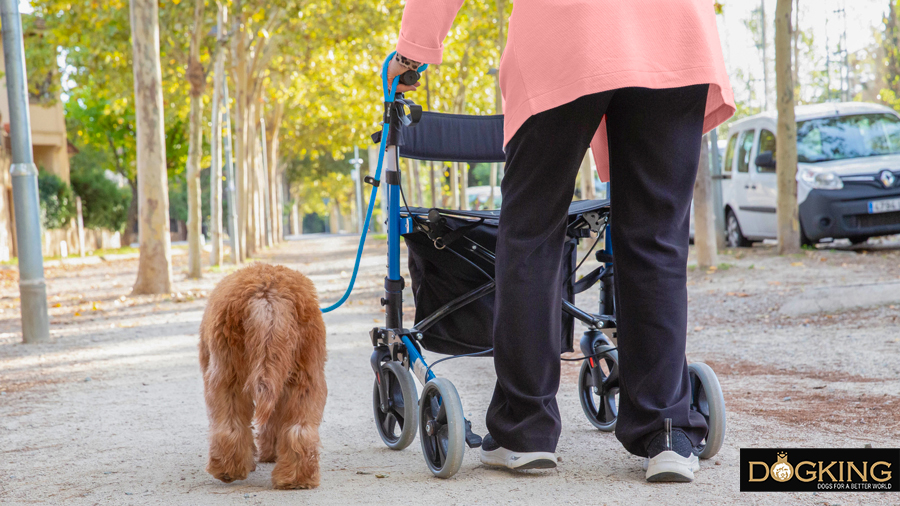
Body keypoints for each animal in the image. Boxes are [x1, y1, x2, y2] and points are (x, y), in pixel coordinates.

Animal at [198, 262, 326, 488]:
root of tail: (268, 297)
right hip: (306, 376)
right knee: (299, 429)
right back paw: (296, 478)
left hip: (227, 375)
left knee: (230, 426)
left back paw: (227, 469)